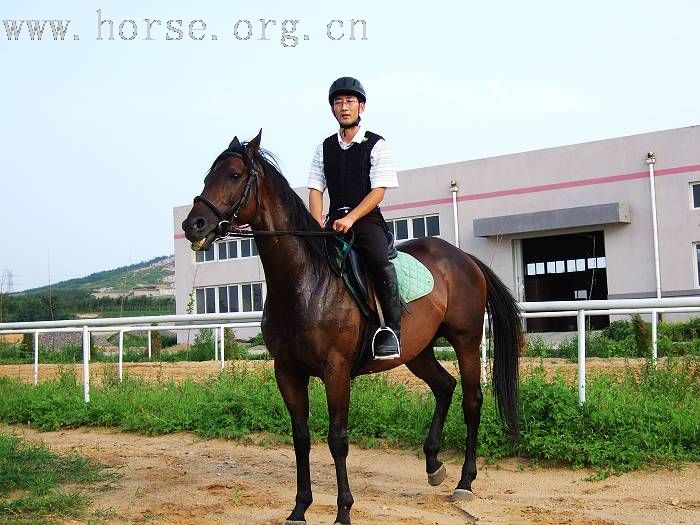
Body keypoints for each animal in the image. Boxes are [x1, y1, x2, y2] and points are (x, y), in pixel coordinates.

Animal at [180, 131, 520, 524]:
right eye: (209, 176)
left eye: (234, 175)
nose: (193, 224)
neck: (305, 282)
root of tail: (464, 258)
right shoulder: (287, 371)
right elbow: (301, 437)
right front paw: (300, 508)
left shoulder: (336, 370)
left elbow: (337, 439)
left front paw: (343, 510)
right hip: (416, 351)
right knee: (444, 387)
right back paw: (434, 465)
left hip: (465, 340)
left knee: (471, 400)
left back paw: (465, 481)